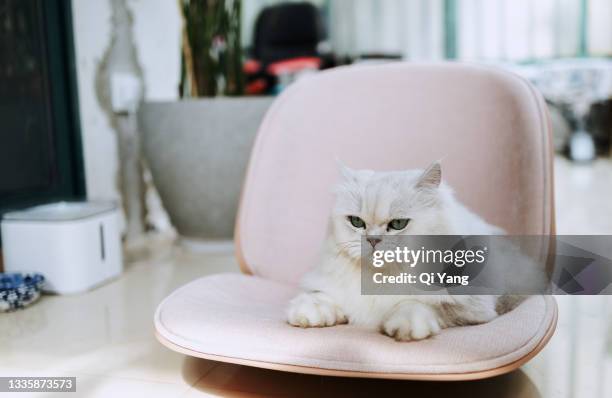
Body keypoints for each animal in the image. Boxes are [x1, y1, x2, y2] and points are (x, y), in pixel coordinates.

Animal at [286, 162, 506, 342]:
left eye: (399, 224)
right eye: (356, 222)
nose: (373, 240)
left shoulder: (472, 305)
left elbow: (419, 304)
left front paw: (406, 327)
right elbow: (322, 297)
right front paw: (306, 313)